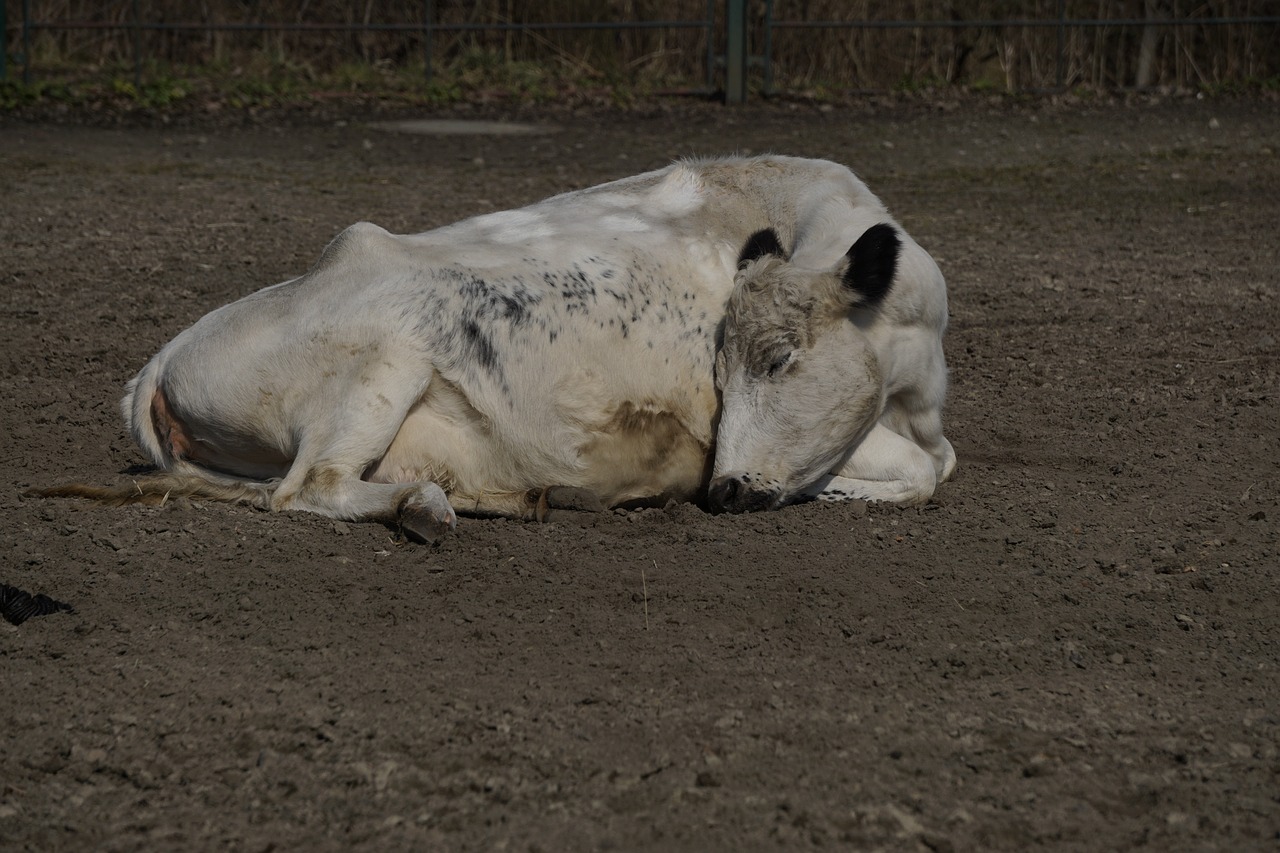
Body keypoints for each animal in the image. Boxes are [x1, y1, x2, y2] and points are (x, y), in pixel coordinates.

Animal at [37, 154, 952, 537]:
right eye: (728, 368)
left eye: (779, 358)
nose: (723, 491)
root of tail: (160, 361)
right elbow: (923, 473)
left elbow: (934, 468)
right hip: (388, 359)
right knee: (309, 490)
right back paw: (425, 508)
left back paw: (521, 498)